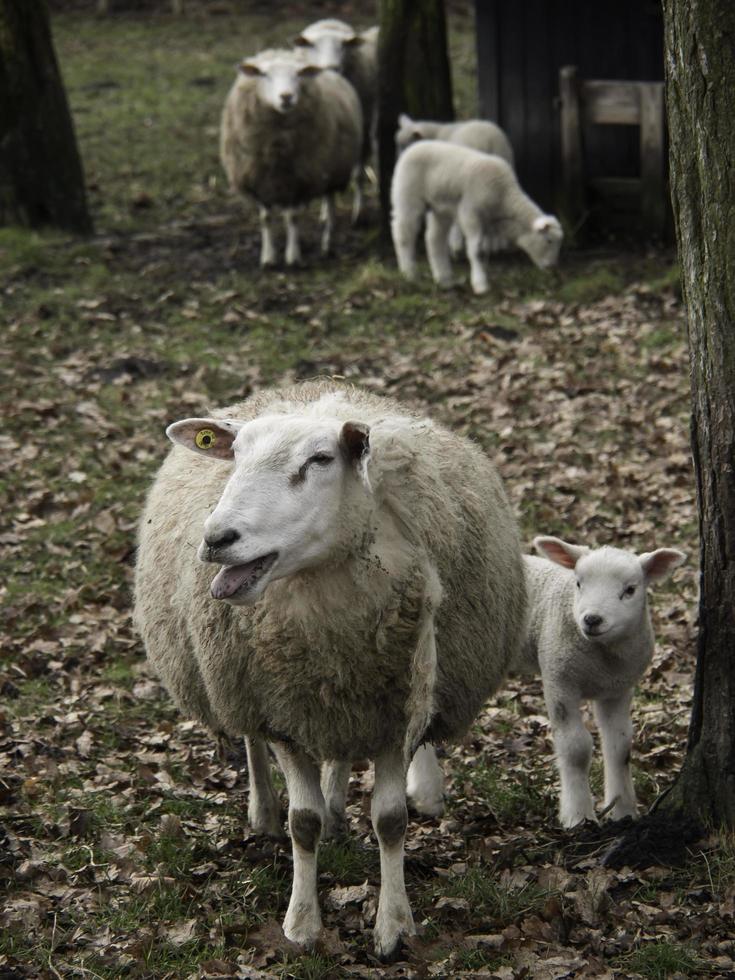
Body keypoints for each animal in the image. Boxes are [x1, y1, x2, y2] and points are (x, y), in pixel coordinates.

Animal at [135, 380, 528, 956]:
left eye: (320, 460)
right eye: (236, 456)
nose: (216, 539)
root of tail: (311, 390)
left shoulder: (393, 711)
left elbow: (391, 821)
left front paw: (393, 924)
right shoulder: (280, 709)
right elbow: (303, 821)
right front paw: (301, 924)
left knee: (340, 755)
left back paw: (339, 804)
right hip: (240, 683)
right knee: (252, 742)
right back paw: (264, 811)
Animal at [221, 47, 366, 266]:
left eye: (298, 75)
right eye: (264, 75)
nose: (286, 97)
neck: (276, 147)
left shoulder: (299, 178)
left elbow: (293, 218)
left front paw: (293, 256)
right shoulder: (258, 179)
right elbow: (265, 218)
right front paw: (268, 257)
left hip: (332, 170)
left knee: (330, 206)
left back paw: (326, 245)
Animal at [294, 19, 380, 221]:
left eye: (343, 45)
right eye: (313, 46)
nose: (331, 67)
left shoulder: (360, 130)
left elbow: (357, 175)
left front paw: (359, 212)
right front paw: (325, 213)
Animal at [392, 141, 564, 294]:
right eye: (548, 241)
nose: (553, 267)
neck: (504, 197)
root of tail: (411, 148)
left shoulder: (487, 223)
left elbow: (482, 250)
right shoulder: (470, 212)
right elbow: (476, 251)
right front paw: (480, 283)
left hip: (440, 208)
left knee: (434, 239)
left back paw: (444, 279)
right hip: (408, 197)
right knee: (404, 235)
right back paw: (409, 274)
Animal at [520, 536, 688, 828]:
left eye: (630, 590)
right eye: (578, 583)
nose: (592, 619)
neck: (602, 661)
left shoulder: (617, 688)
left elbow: (620, 746)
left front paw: (623, 811)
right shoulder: (559, 680)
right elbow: (576, 748)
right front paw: (578, 816)